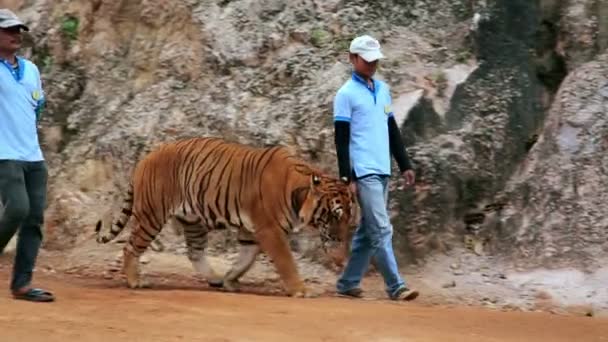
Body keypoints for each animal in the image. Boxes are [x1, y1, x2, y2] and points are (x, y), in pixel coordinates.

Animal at [95, 136, 358, 296]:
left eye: (349, 216)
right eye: (335, 215)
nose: (343, 247)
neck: (299, 193)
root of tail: (146, 158)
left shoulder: (251, 232)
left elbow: (245, 260)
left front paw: (231, 280)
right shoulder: (270, 230)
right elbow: (286, 262)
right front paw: (301, 289)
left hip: (193, 220)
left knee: (195, 252)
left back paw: (215, 278)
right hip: (152, 214)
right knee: (130, 247)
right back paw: (135, 281)